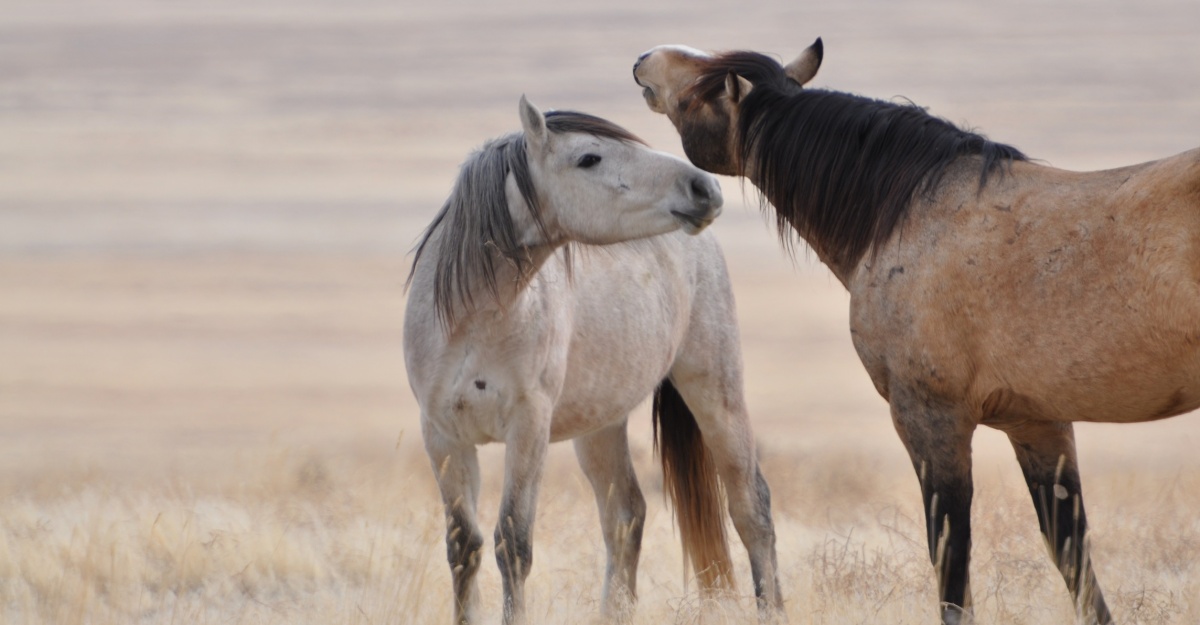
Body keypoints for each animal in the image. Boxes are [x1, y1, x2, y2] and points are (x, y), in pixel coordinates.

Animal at [398, 94, 782, 619]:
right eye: (589, 158)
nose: (704, 187)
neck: (472, 321)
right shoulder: (442, 436)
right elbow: (464, 545)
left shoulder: (529, 428)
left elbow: (512, 542)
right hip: (601, 423)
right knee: (626, 515)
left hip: (715, 391)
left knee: (750, 508)